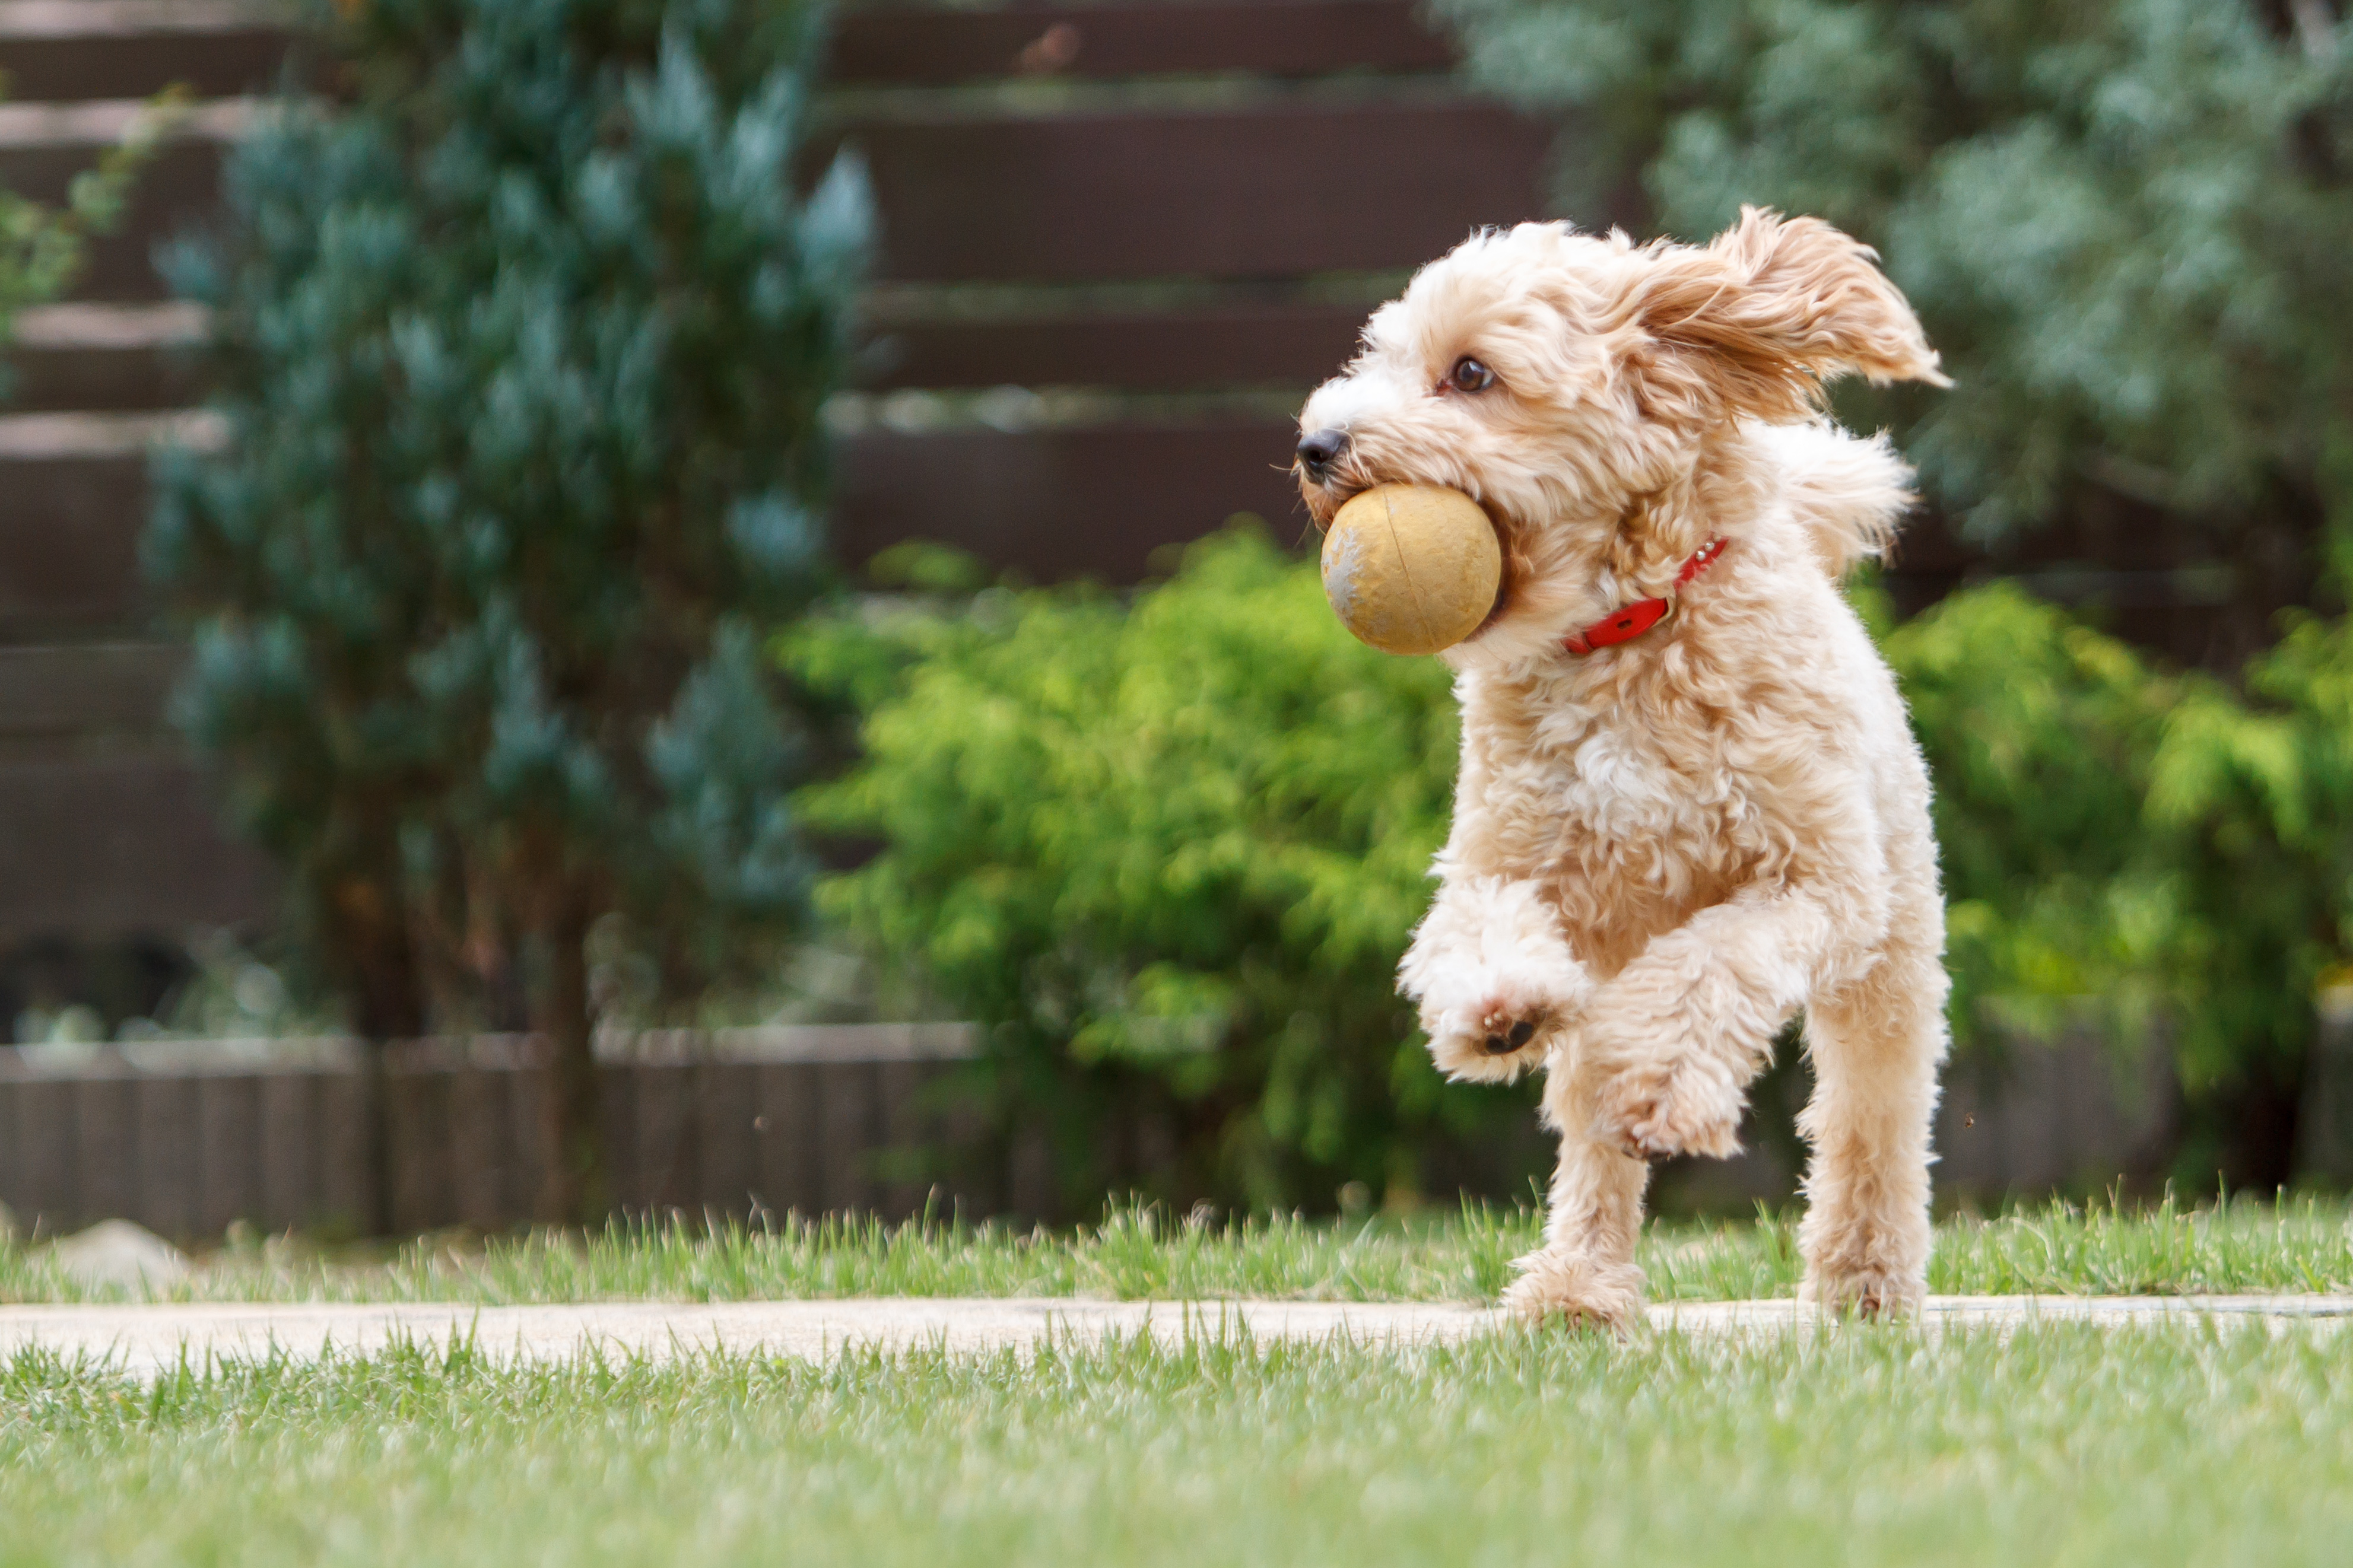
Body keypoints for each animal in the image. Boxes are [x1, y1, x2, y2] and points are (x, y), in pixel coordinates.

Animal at [1308, 208, 1948, 1335]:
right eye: (1376, 357)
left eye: (1469, 372)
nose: (1314, 445)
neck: (1624, 635)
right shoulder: (1505, 858)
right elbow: (1475, 928)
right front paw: (1499, 1005)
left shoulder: (1818, 881)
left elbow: (1715, 962)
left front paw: (1667, 1091)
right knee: (1591, 1127)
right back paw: (1578, 1286)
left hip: (1892, 952)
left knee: (1872, 1110)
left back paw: (1864, 1280)